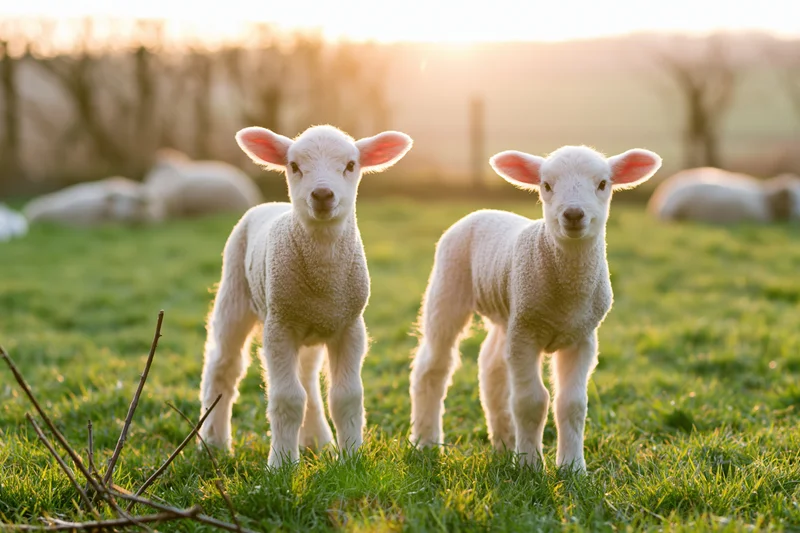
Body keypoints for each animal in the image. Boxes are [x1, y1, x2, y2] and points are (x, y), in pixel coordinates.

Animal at [198, 124, 413, 467]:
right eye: (294, 166)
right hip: (234, 293)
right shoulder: (279, 327)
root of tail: (271, 205)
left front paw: (351, 459)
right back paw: (214, 443)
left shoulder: (350, 326)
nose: (323, 195)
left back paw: (317, 440)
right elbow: (287, 398)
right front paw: (281, 465)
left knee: (309, 382)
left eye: (350, 165)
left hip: (311, 328)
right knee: (223, 370)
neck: (323, 280)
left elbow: (346, 396)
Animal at [408, 145, 662, 471]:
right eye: (547, 185)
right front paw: (529, 466)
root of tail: (483, 211)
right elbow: (531, 401)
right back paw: (426, 441)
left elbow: (572, 404)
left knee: (491, 366)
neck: (567, 295)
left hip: (507, 312)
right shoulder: (526, 333)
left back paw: (504, 443)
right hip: (448, 288)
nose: (573, 214)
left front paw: (572, 468)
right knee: (433, 367)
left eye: (603, 184)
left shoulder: (581, 337)